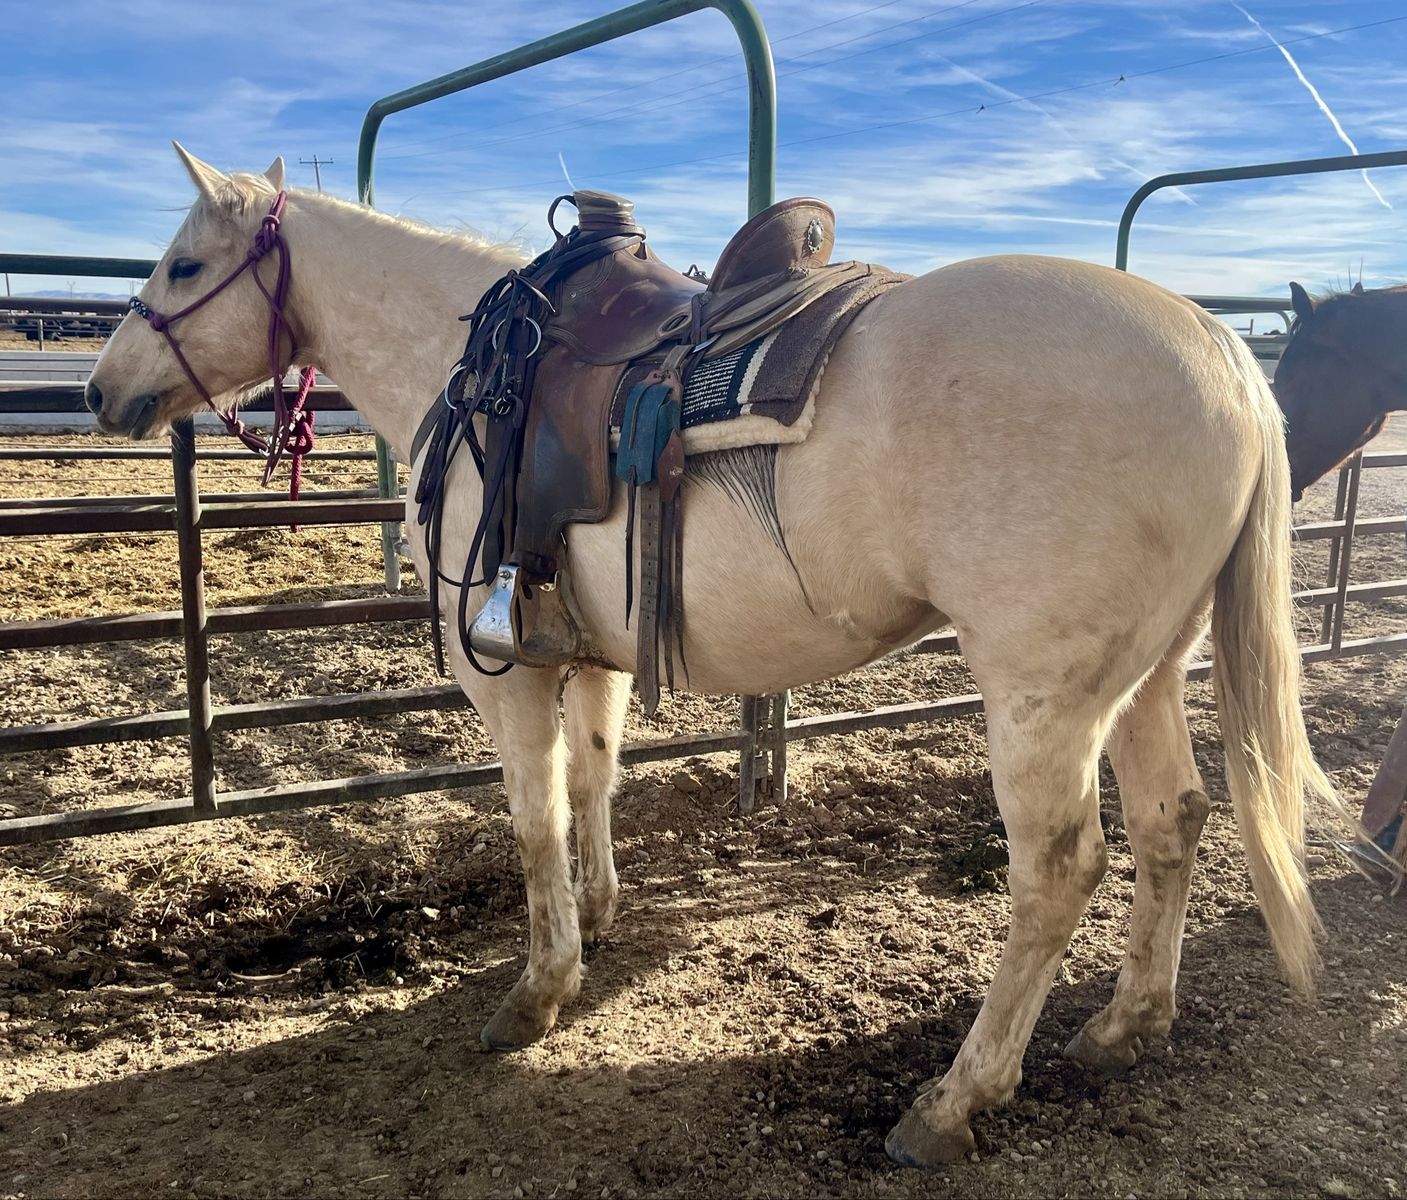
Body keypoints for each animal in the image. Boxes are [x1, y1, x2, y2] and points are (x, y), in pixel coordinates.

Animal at [83, 145, 1334, 1168]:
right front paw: (598, 919)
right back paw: (1125, 1025)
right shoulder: (591, 652)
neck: (482, 370)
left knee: (1060, 872)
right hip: (1146, 674)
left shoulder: (506, 667)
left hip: (1045, 699)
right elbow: (594, 782)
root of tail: (1225, 355)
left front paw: (538, 991)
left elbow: (533, 818)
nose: (100, 391)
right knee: (1175, 821)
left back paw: (953, 1101)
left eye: (185, 267)